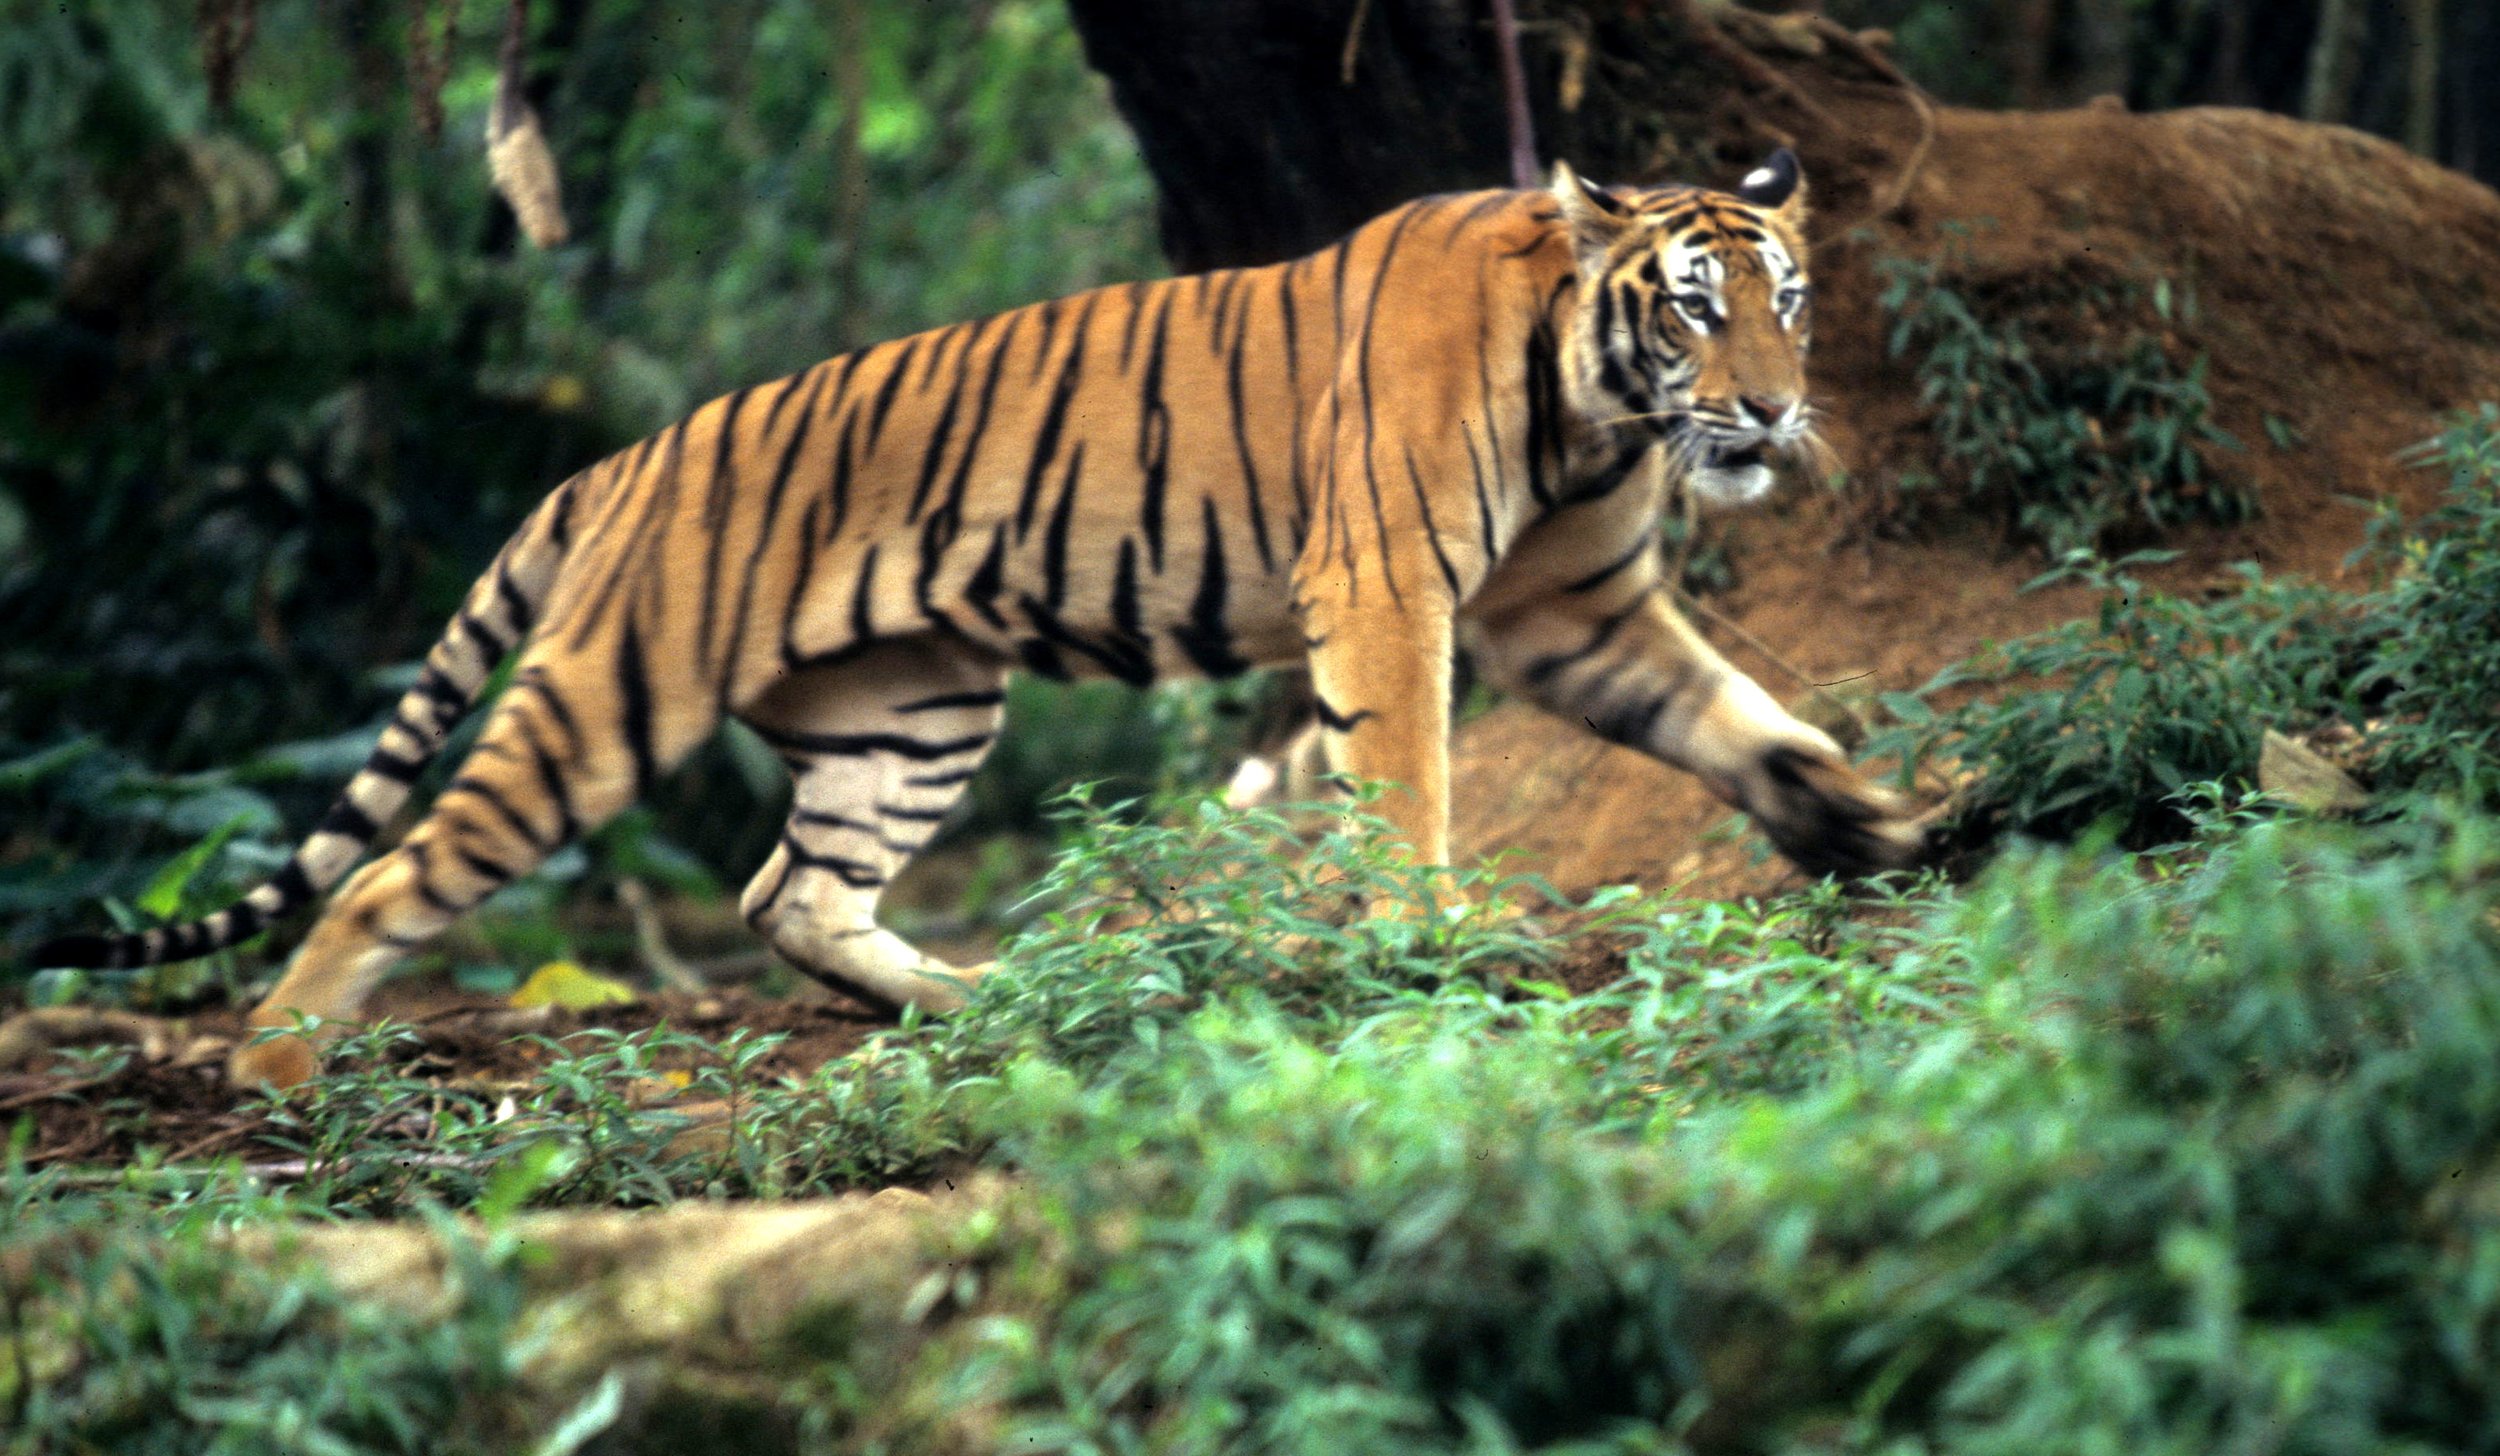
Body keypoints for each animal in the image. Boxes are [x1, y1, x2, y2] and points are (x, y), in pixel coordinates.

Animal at [33, 149, 1925, 1088]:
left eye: (1787, 297)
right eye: (1697, 309)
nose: (1771, 413)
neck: (1597, 405)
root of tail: (617, 461)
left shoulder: (1578, 613)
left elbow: (1746, 721)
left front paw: (1881, 828)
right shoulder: (1390, 586)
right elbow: (1407, 780)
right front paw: (1428, 938)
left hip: (915, 711)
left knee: (791, 891)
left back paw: (972, 1006)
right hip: (605, 704)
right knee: (390, 878)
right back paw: (274, 1072)